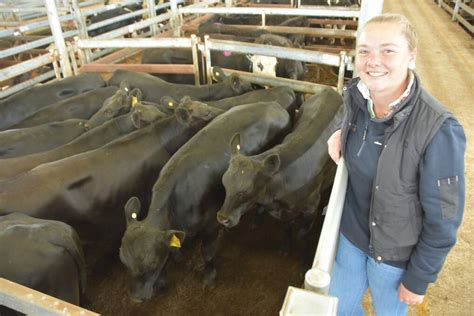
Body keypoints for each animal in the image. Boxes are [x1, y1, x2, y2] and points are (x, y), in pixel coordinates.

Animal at [119, 100, 288, 302]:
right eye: (122, 259)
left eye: (151, 262)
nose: (135, 298)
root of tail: (274, 104)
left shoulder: (210, 225)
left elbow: (207, 254)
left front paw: (209, 278)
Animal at [217, 87, 342, 248]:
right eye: (224, 183)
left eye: (247, 190)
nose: (222, 218)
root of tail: (329, 90)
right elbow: (286, 226)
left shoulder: (312, 205)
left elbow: (303, 230)